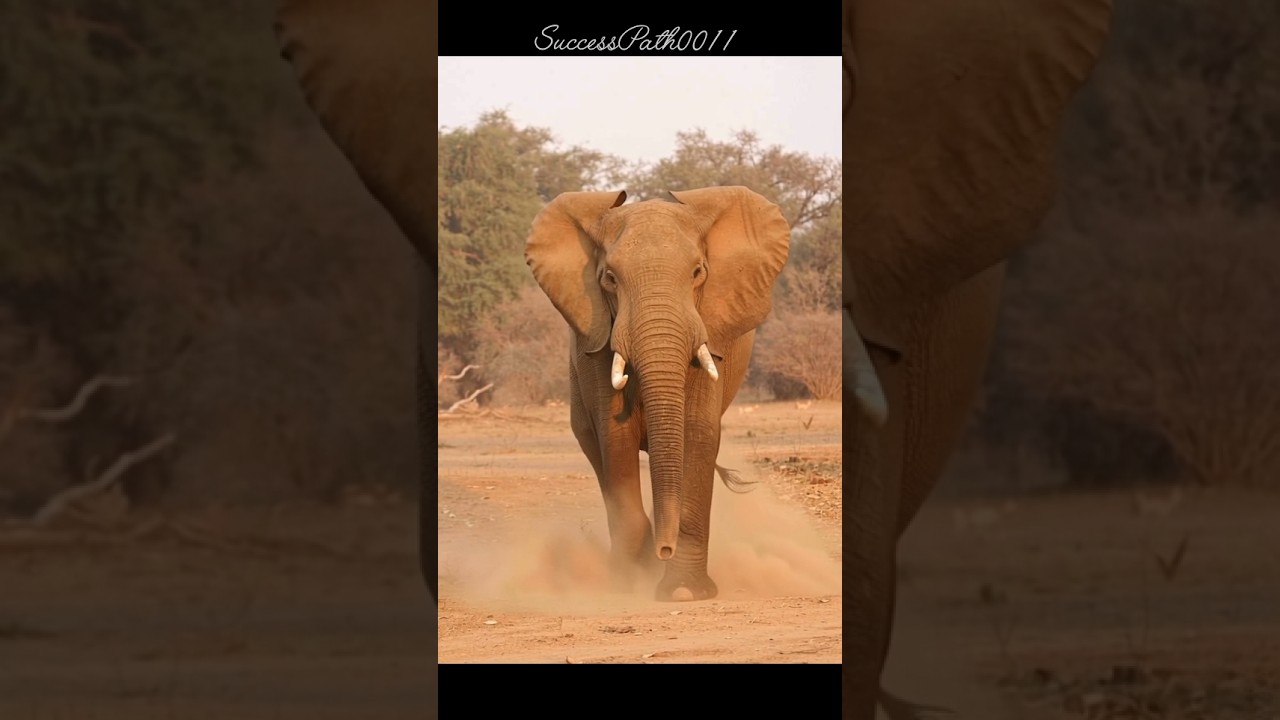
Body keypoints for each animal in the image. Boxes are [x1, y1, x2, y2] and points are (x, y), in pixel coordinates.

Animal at [525, 187, 790, 601]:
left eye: (698, 273)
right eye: (609, 278)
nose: (666, 549)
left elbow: (697, 435)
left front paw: (683, 592)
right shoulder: (598, 346)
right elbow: (615, 439)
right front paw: (631, 579)